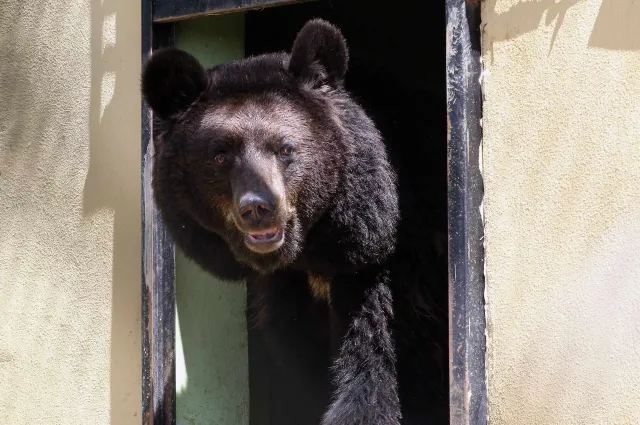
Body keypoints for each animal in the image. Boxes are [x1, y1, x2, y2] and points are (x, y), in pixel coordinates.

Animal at [141, 17, 450, 424]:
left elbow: (376, 356)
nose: (258, 208)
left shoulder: (384, 260)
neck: (314, 250)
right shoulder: (287, 290)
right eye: (220, 155)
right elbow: (301, 359)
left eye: (286, 148)